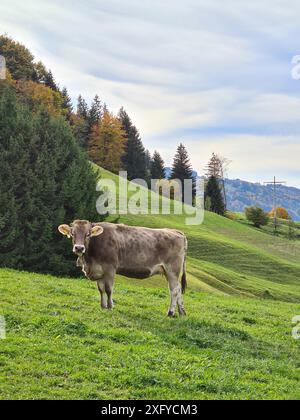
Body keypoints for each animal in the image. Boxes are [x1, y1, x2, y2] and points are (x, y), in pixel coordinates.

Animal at [58, 221, 188, 316]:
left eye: (88, 234)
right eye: (73, 234)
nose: (79, 248)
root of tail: (175, 231)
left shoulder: (110, 268)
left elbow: (108, 289)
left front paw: (110, 306)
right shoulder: (99, 270)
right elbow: (101, 289)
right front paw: (103, 306)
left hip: (172, 269)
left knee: (174, 290)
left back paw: (171, 312)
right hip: (168, 271)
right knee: (179, 288)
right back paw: (181, 312)